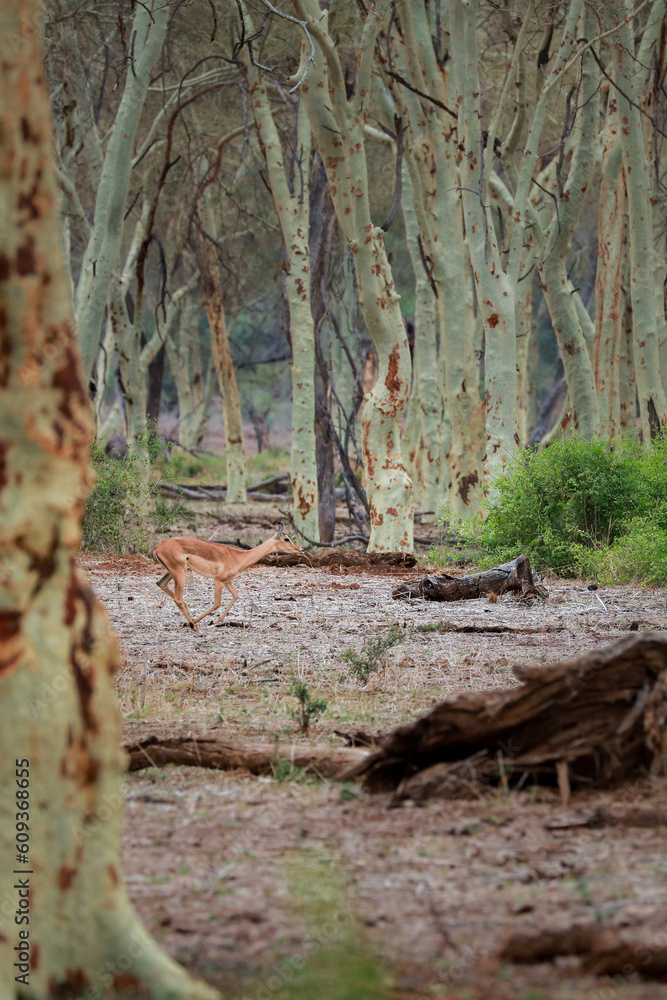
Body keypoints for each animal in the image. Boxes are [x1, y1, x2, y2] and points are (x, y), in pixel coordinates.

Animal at [152, 522, 307, 634]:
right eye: (286, 538)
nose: (301, 550)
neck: (238, 557)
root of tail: (157, 547)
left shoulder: (228, 582)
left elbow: (236, 595)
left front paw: (213, 621)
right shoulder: (218, 581)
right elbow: (217, 603)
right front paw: (208, 622)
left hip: (171, 573)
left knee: (162, 585)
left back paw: (190, 621)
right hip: (180, 573)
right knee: (178, 598)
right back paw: (195, 628)